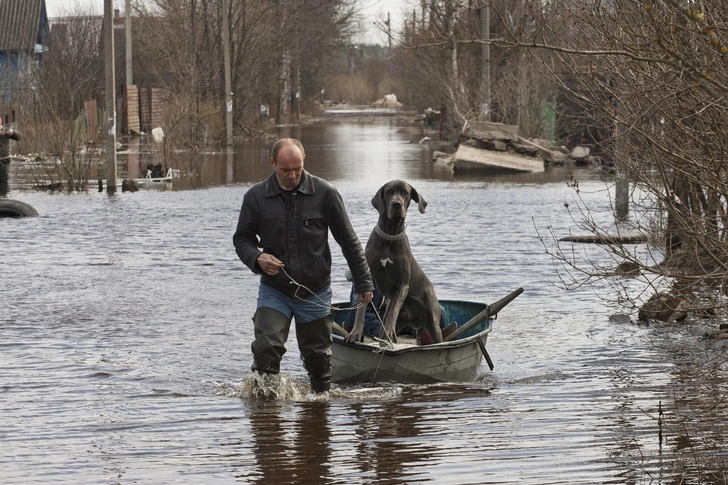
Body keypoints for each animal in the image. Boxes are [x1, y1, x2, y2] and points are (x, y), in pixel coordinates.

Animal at [346, 180, 444, 342]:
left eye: (405, 192)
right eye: (389, 192)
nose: (396, 204)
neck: (390, 234)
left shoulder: (402, 284)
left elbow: (393, 311)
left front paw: (390, 334)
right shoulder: (367, 278)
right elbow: (361, 309)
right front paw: (355, 333)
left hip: (434, 322)